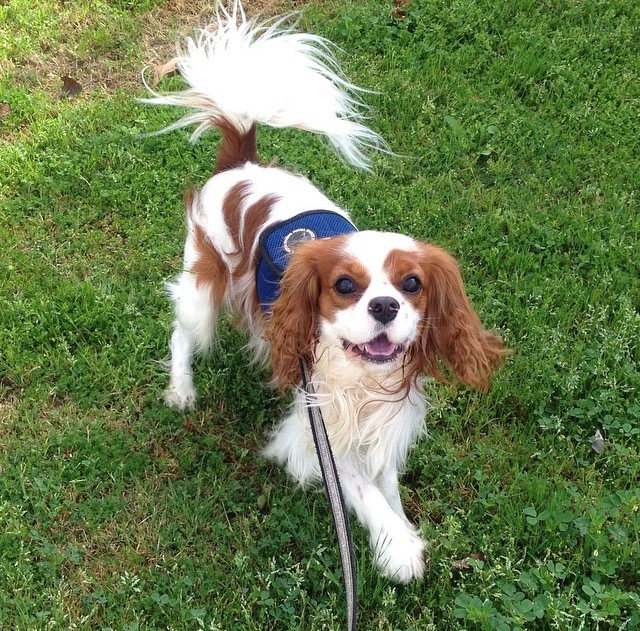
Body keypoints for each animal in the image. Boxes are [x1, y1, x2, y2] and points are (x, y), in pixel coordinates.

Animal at [144, 1, 504, 584]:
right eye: (345, 286)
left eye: (411, 284)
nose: (385, 305)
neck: (363, 381)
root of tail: (241, 163)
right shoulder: (316, 431)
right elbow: (358, 486)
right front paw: (398, 547)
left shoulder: (385, 424)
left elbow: (386, 484)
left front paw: (401, 526)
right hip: (202, 285)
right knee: (182, 331)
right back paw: (181, 390)